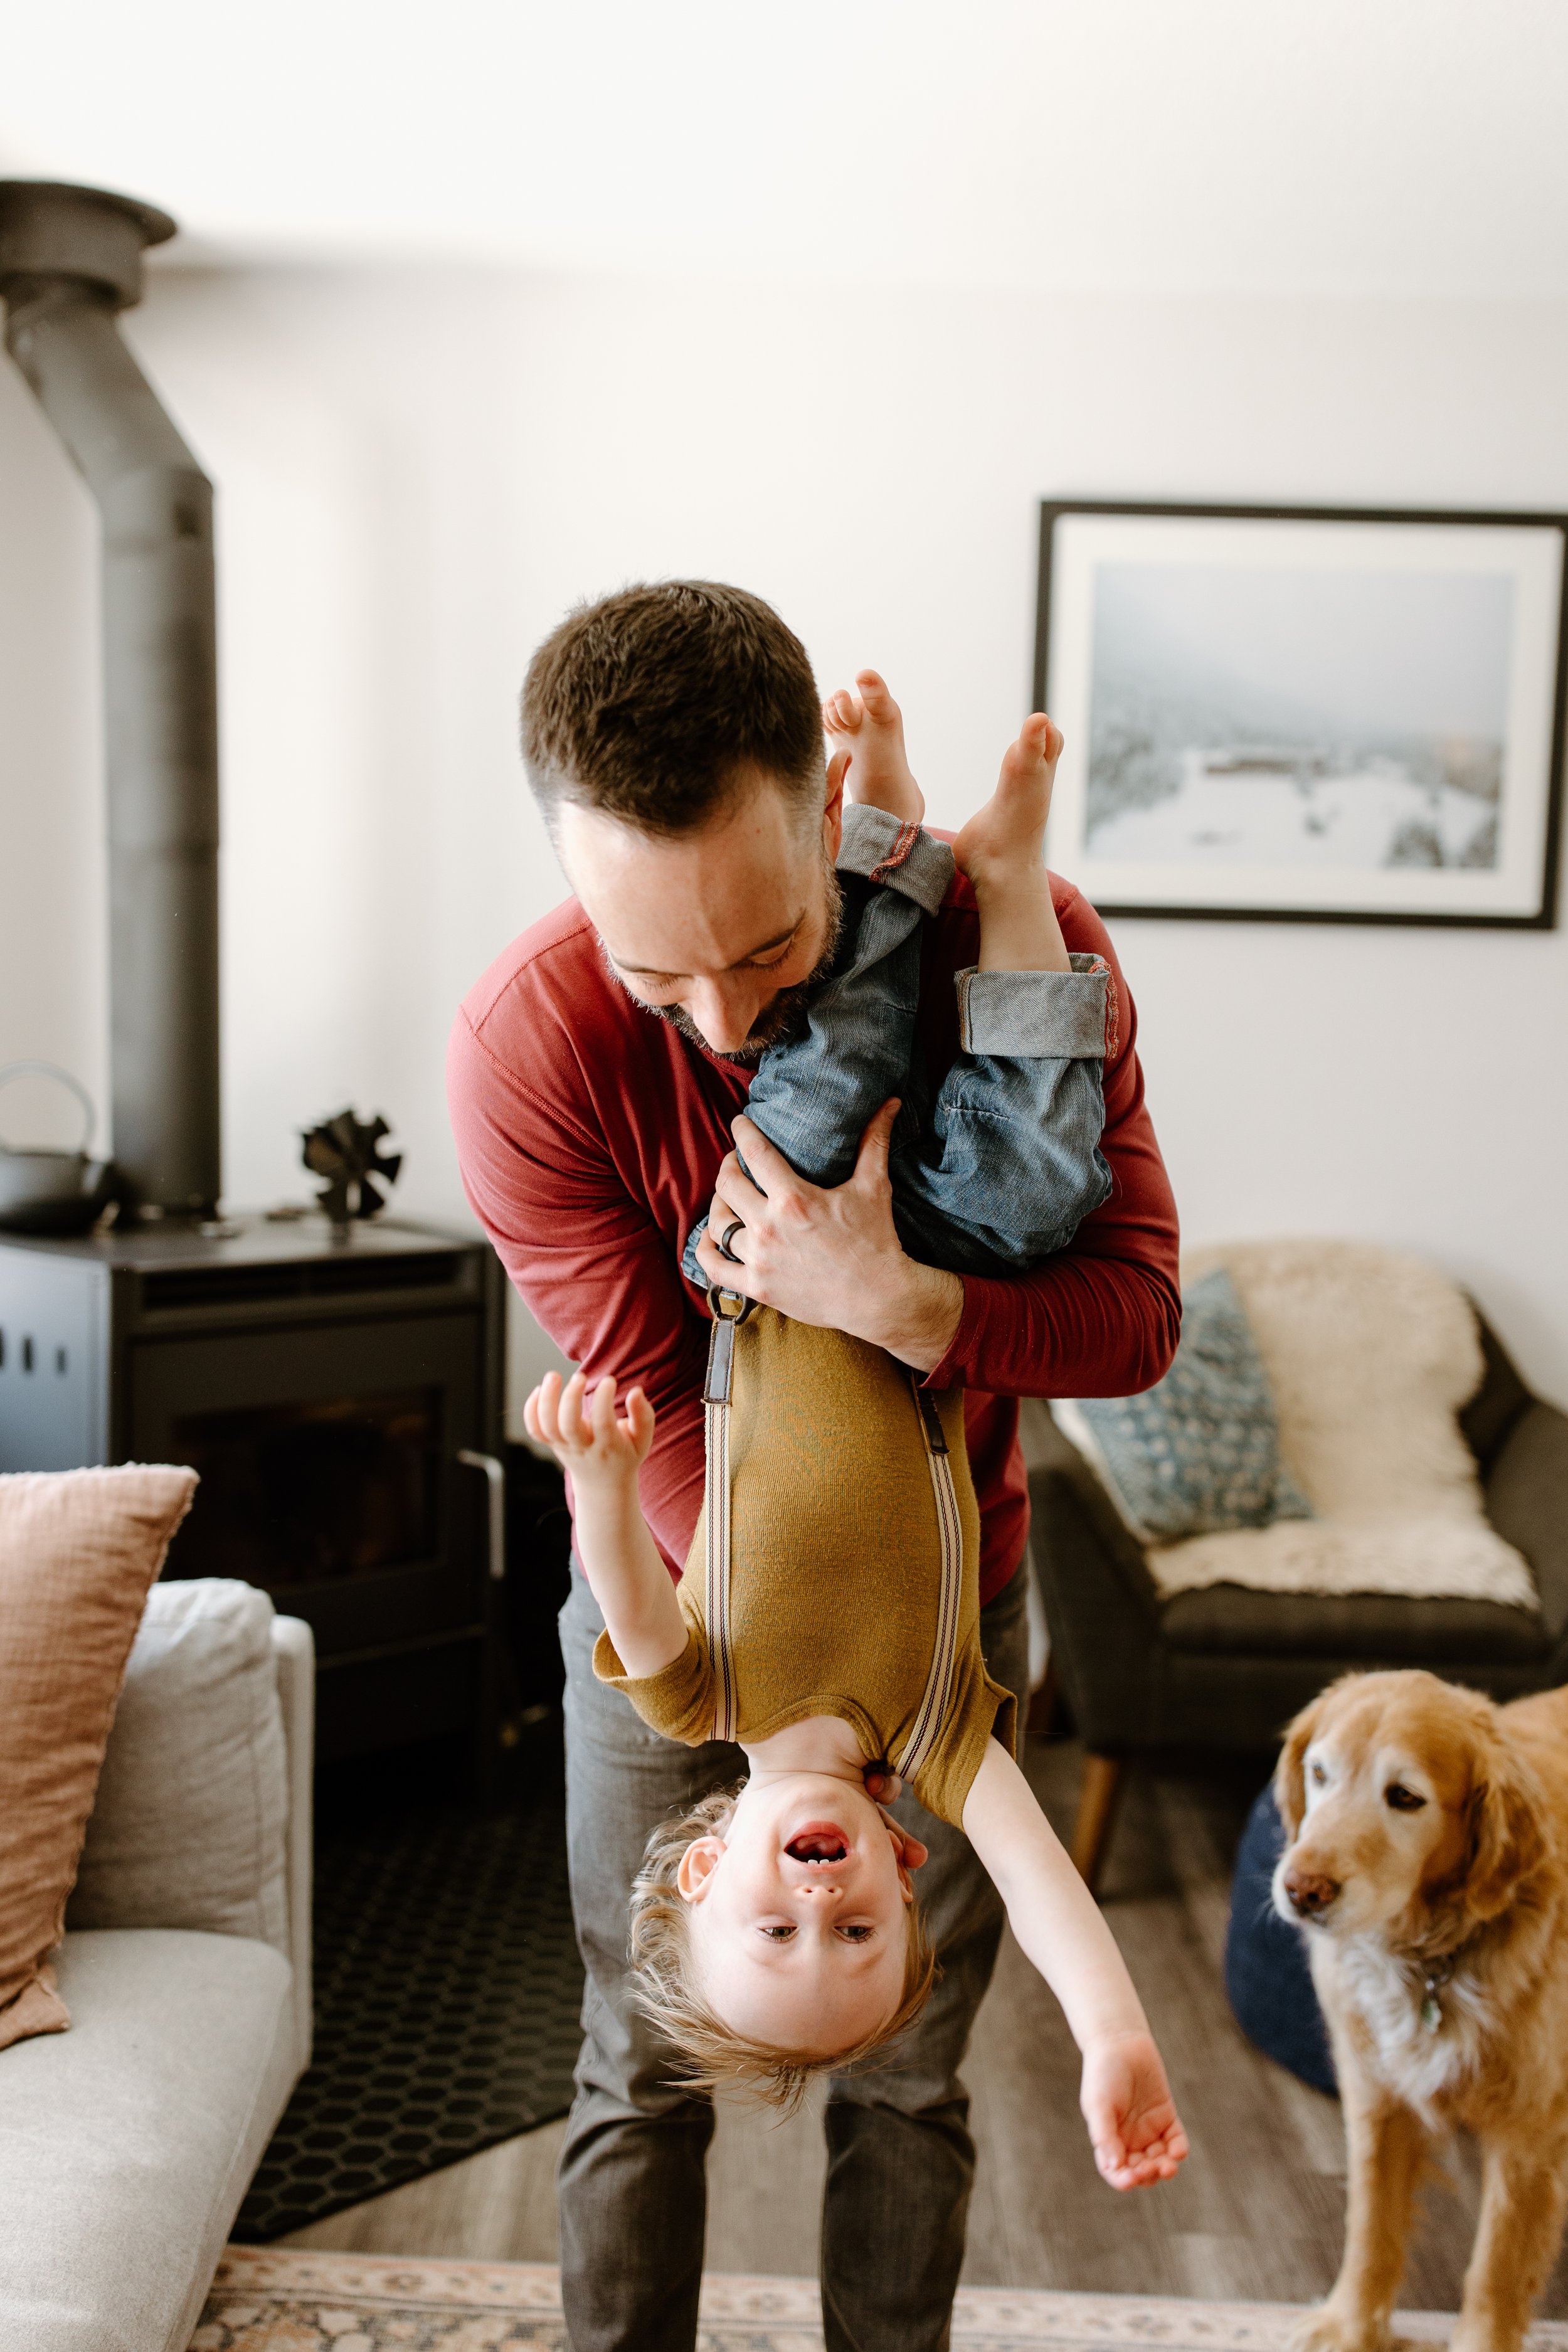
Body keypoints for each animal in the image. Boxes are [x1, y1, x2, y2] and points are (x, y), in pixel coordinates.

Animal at [1269, 1675, 1568, 2352]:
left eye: (1404, 1797)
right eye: (1319, 1772)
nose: (1302, 1890)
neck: (1432, 1960)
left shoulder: (1530, 2134)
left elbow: (1497, 2264)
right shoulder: (1376, 2096)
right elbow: (1370, 2227)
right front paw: (1349, 2326)